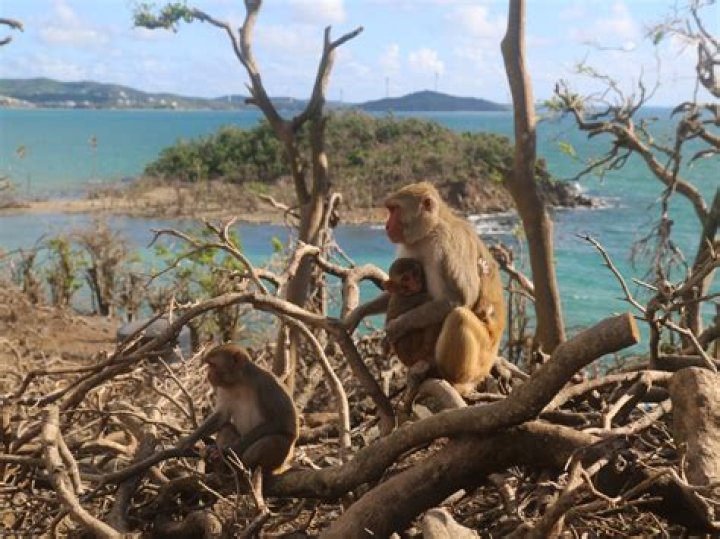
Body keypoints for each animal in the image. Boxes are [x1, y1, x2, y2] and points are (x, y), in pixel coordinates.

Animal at [344, 181, 505, 396]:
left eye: (394, 209)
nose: (386, 225)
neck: (429, 232)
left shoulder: (448, 242)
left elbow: (460, 298)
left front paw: (395, 328)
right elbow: (395, 290)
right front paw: (359, 312)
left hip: (481, 358)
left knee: (459, 316)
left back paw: (449, 378)